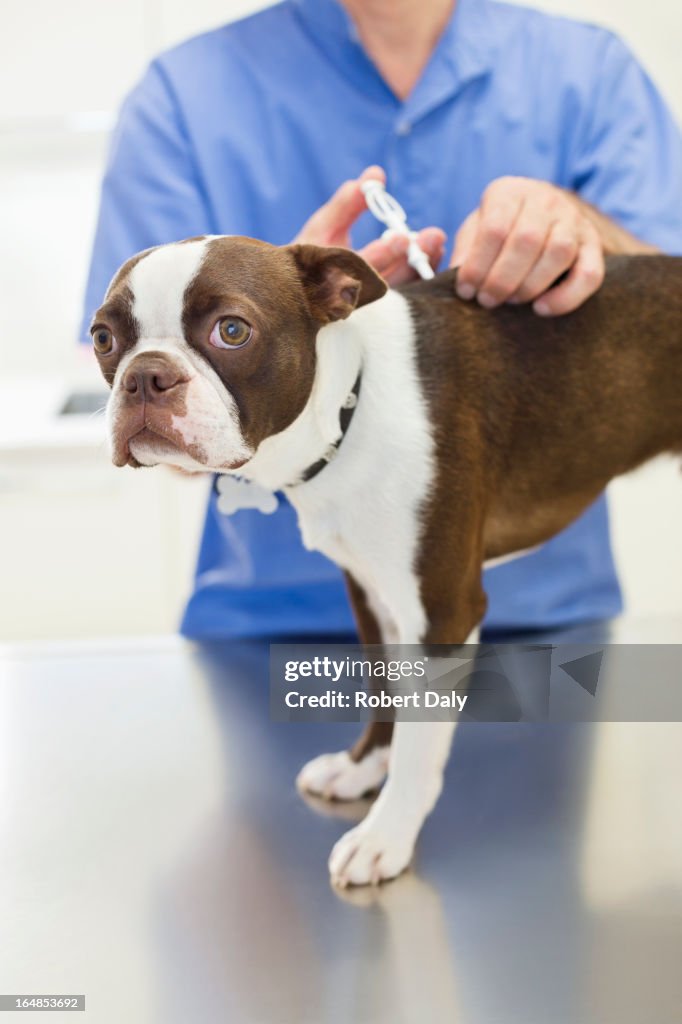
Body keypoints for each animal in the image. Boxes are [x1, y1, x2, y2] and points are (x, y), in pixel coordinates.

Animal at [91, 235, 679, 884]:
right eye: (103, 338)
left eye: (232, 330)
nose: (146, 375)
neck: (351, 410)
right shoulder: (374, 596)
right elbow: (385, 694)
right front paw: (362, 769)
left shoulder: (442, 613)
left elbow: (420, 742)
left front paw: (387, 834)